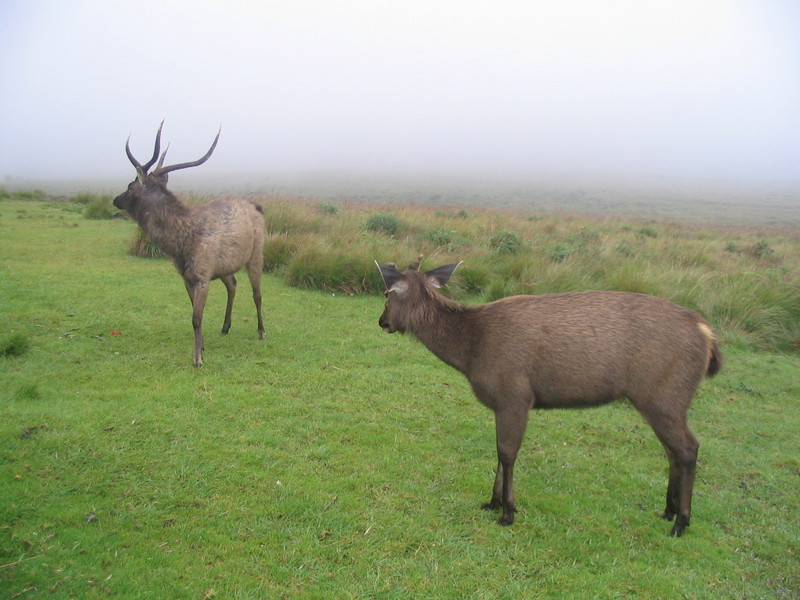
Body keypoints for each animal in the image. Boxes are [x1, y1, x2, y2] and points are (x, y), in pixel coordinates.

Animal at [113, 121, 266, 366]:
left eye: (129, 185)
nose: (115, 199)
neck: (180, 245)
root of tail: (257, 207)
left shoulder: (202, 276)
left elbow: (196, 317)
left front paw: (197, 359)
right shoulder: (186, 276)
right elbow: (195, 313)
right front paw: (202, 347)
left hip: (256, 253)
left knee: (257, 294)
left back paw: (261, 331)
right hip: (225, 267)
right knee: (233, 284)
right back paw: (225, 327)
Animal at [378, 255, 720, 536]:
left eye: (386, 294)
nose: (383, 322)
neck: (471, 352)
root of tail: (707, 332)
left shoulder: (514, 395)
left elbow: (507, 452)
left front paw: (508, 511)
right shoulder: (502, 404)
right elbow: (499, 451)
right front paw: (492, 502)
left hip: (665, 394)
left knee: (688, 448)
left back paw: (681, 522)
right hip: (660, 401)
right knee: (672, 451)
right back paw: (667, 511)